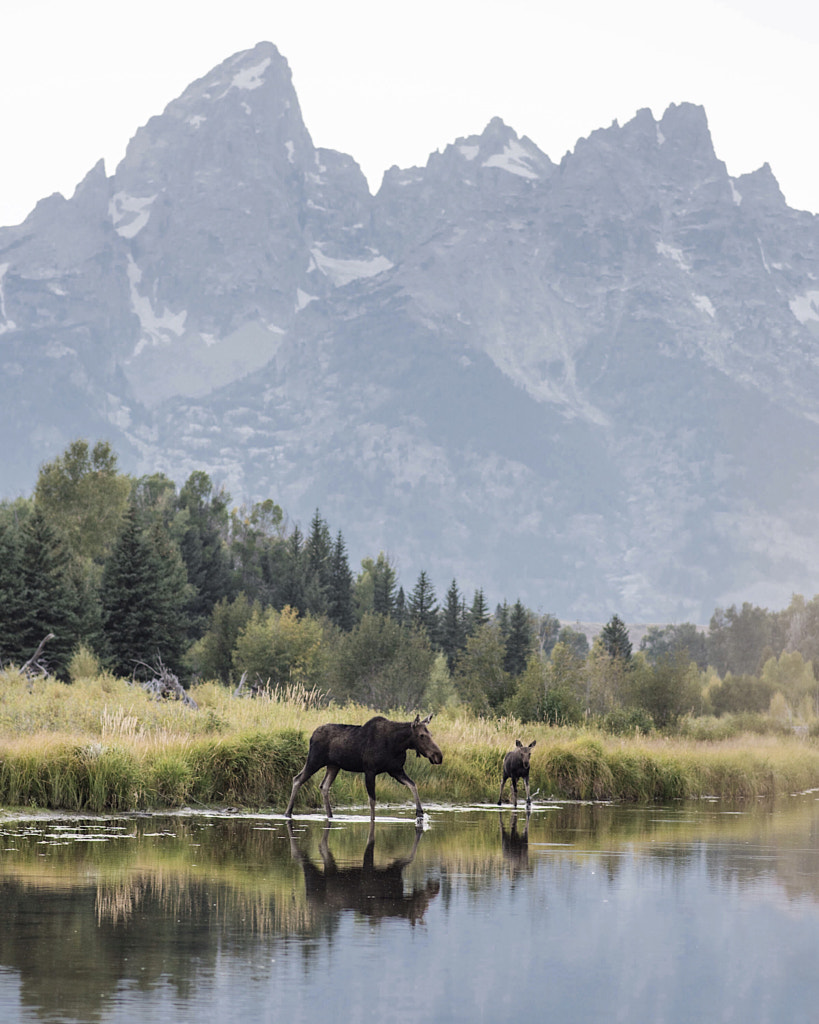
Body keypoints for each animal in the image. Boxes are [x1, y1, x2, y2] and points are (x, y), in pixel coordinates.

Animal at [284, 716, 444, 819]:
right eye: (422, 735)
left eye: (431, 733)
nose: (438, 756)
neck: (398, 744)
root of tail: (312, 735)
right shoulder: (370, 770)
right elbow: (372, 800)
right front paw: (372, 820)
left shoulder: (395, 770)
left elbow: (413, 785)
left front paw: (420, 813)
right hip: (314, 760)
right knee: (297, 779)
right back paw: (288, 813)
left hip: (334, 766)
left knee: (324, 786)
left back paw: (330, 815)